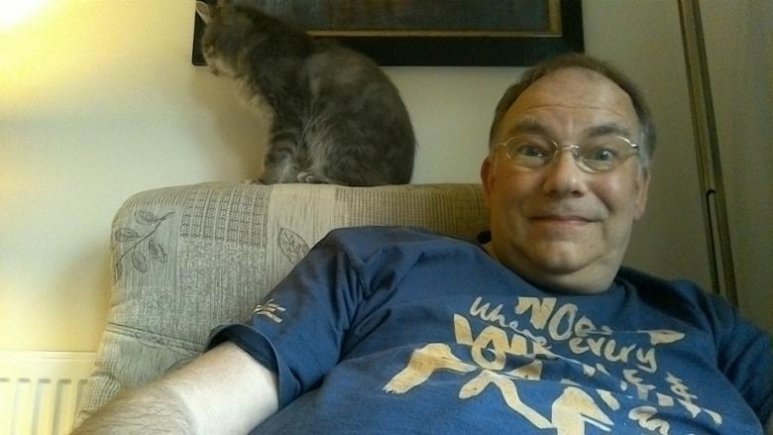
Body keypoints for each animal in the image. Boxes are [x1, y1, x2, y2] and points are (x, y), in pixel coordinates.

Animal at [195, 0, 416, 186]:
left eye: (206, 48)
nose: (209, 68)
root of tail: (403, 180)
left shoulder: (286, 112)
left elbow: (275, 154)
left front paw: (264, 180)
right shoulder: (295, 126)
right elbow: (293, 156)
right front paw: (285, 179)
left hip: (335, 130)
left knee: (362, 179)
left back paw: (314, 176)